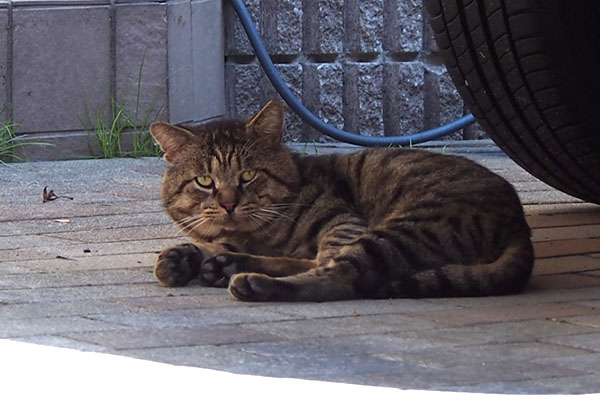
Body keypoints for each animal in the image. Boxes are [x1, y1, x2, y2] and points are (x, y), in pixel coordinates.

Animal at [150, 101, 536, 302]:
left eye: (248, 175)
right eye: (204, 181)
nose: (229, 203)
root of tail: (519, 224)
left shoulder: (343, 221)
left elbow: (318, 260)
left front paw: (204, 257)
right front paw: (184, 256)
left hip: (405, 228)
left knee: (344, 275)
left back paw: (249, 280)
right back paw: (223, 265)